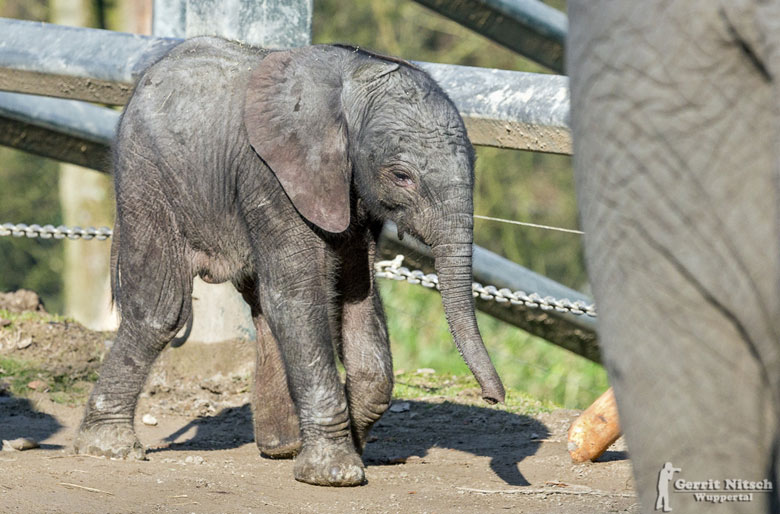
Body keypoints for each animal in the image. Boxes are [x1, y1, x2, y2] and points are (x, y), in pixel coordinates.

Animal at [74, 37, 506, 484]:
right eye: (402, 176)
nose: (494, 399)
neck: (351, 81)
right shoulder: (271, 175)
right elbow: (300, 297)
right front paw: (336, 473)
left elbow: (357, 292)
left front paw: (352, 439)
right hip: (148, 175)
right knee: (162, 309)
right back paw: (110, 449)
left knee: (261, 304)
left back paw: (282, 446)